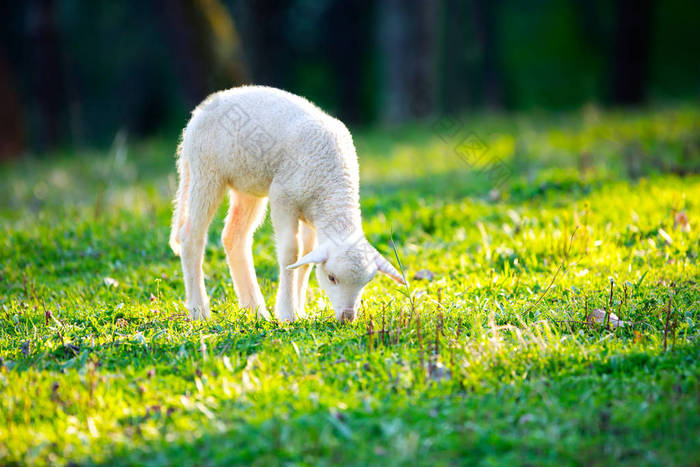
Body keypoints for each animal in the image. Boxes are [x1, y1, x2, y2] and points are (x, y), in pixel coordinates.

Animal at [169, 86, 404, 324]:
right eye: (331, 278)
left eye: (366, 282)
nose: (347, 317)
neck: (333, 184)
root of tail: (200, 110)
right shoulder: (283, 198)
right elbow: (291, 252)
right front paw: (288, 313)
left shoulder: (311, 213)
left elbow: (307, 257)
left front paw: (299, 310)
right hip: (206, 172)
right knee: (191, 238)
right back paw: (199, 310)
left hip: (247, 185)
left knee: (234, 237)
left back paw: (255, 309)